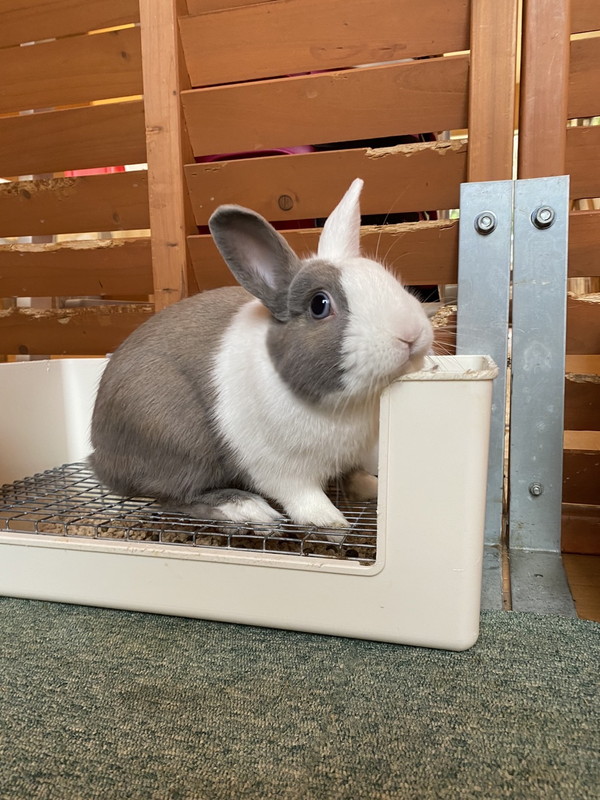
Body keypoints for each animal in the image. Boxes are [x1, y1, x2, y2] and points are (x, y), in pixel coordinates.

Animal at [89, 179, 433, 531]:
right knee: (175, 495)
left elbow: (354, 476)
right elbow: (303, 497)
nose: (410, 333)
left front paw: (372, 487)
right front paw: (331, 521)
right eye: (319, 304)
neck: (348, 403)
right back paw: (245, 508)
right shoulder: (281, 468)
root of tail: (99, 457)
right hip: (177, 443)